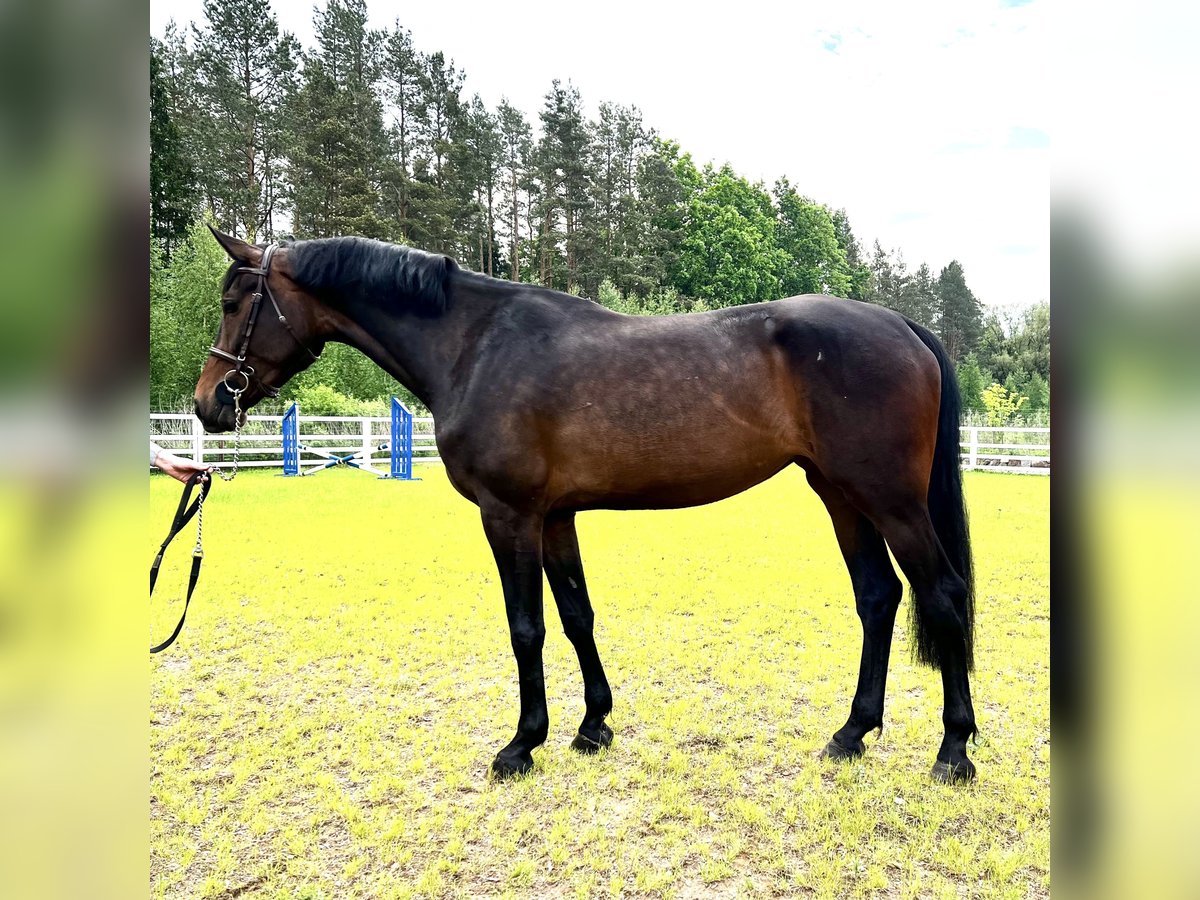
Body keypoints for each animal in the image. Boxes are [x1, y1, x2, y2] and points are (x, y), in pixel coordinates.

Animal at [196, 230, 979, 782]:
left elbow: (526, 628)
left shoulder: (507, 513)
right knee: (879, 598)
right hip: (841, 495)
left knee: (941, 594)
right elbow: (576, 615)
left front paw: (521, 744)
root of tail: (902, 326)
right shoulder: (554, 517)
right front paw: (591, 727)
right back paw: (852, 734)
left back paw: (953, 751)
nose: (208, 405)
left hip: (890, 501)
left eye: (236, 303)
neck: (476, 345)